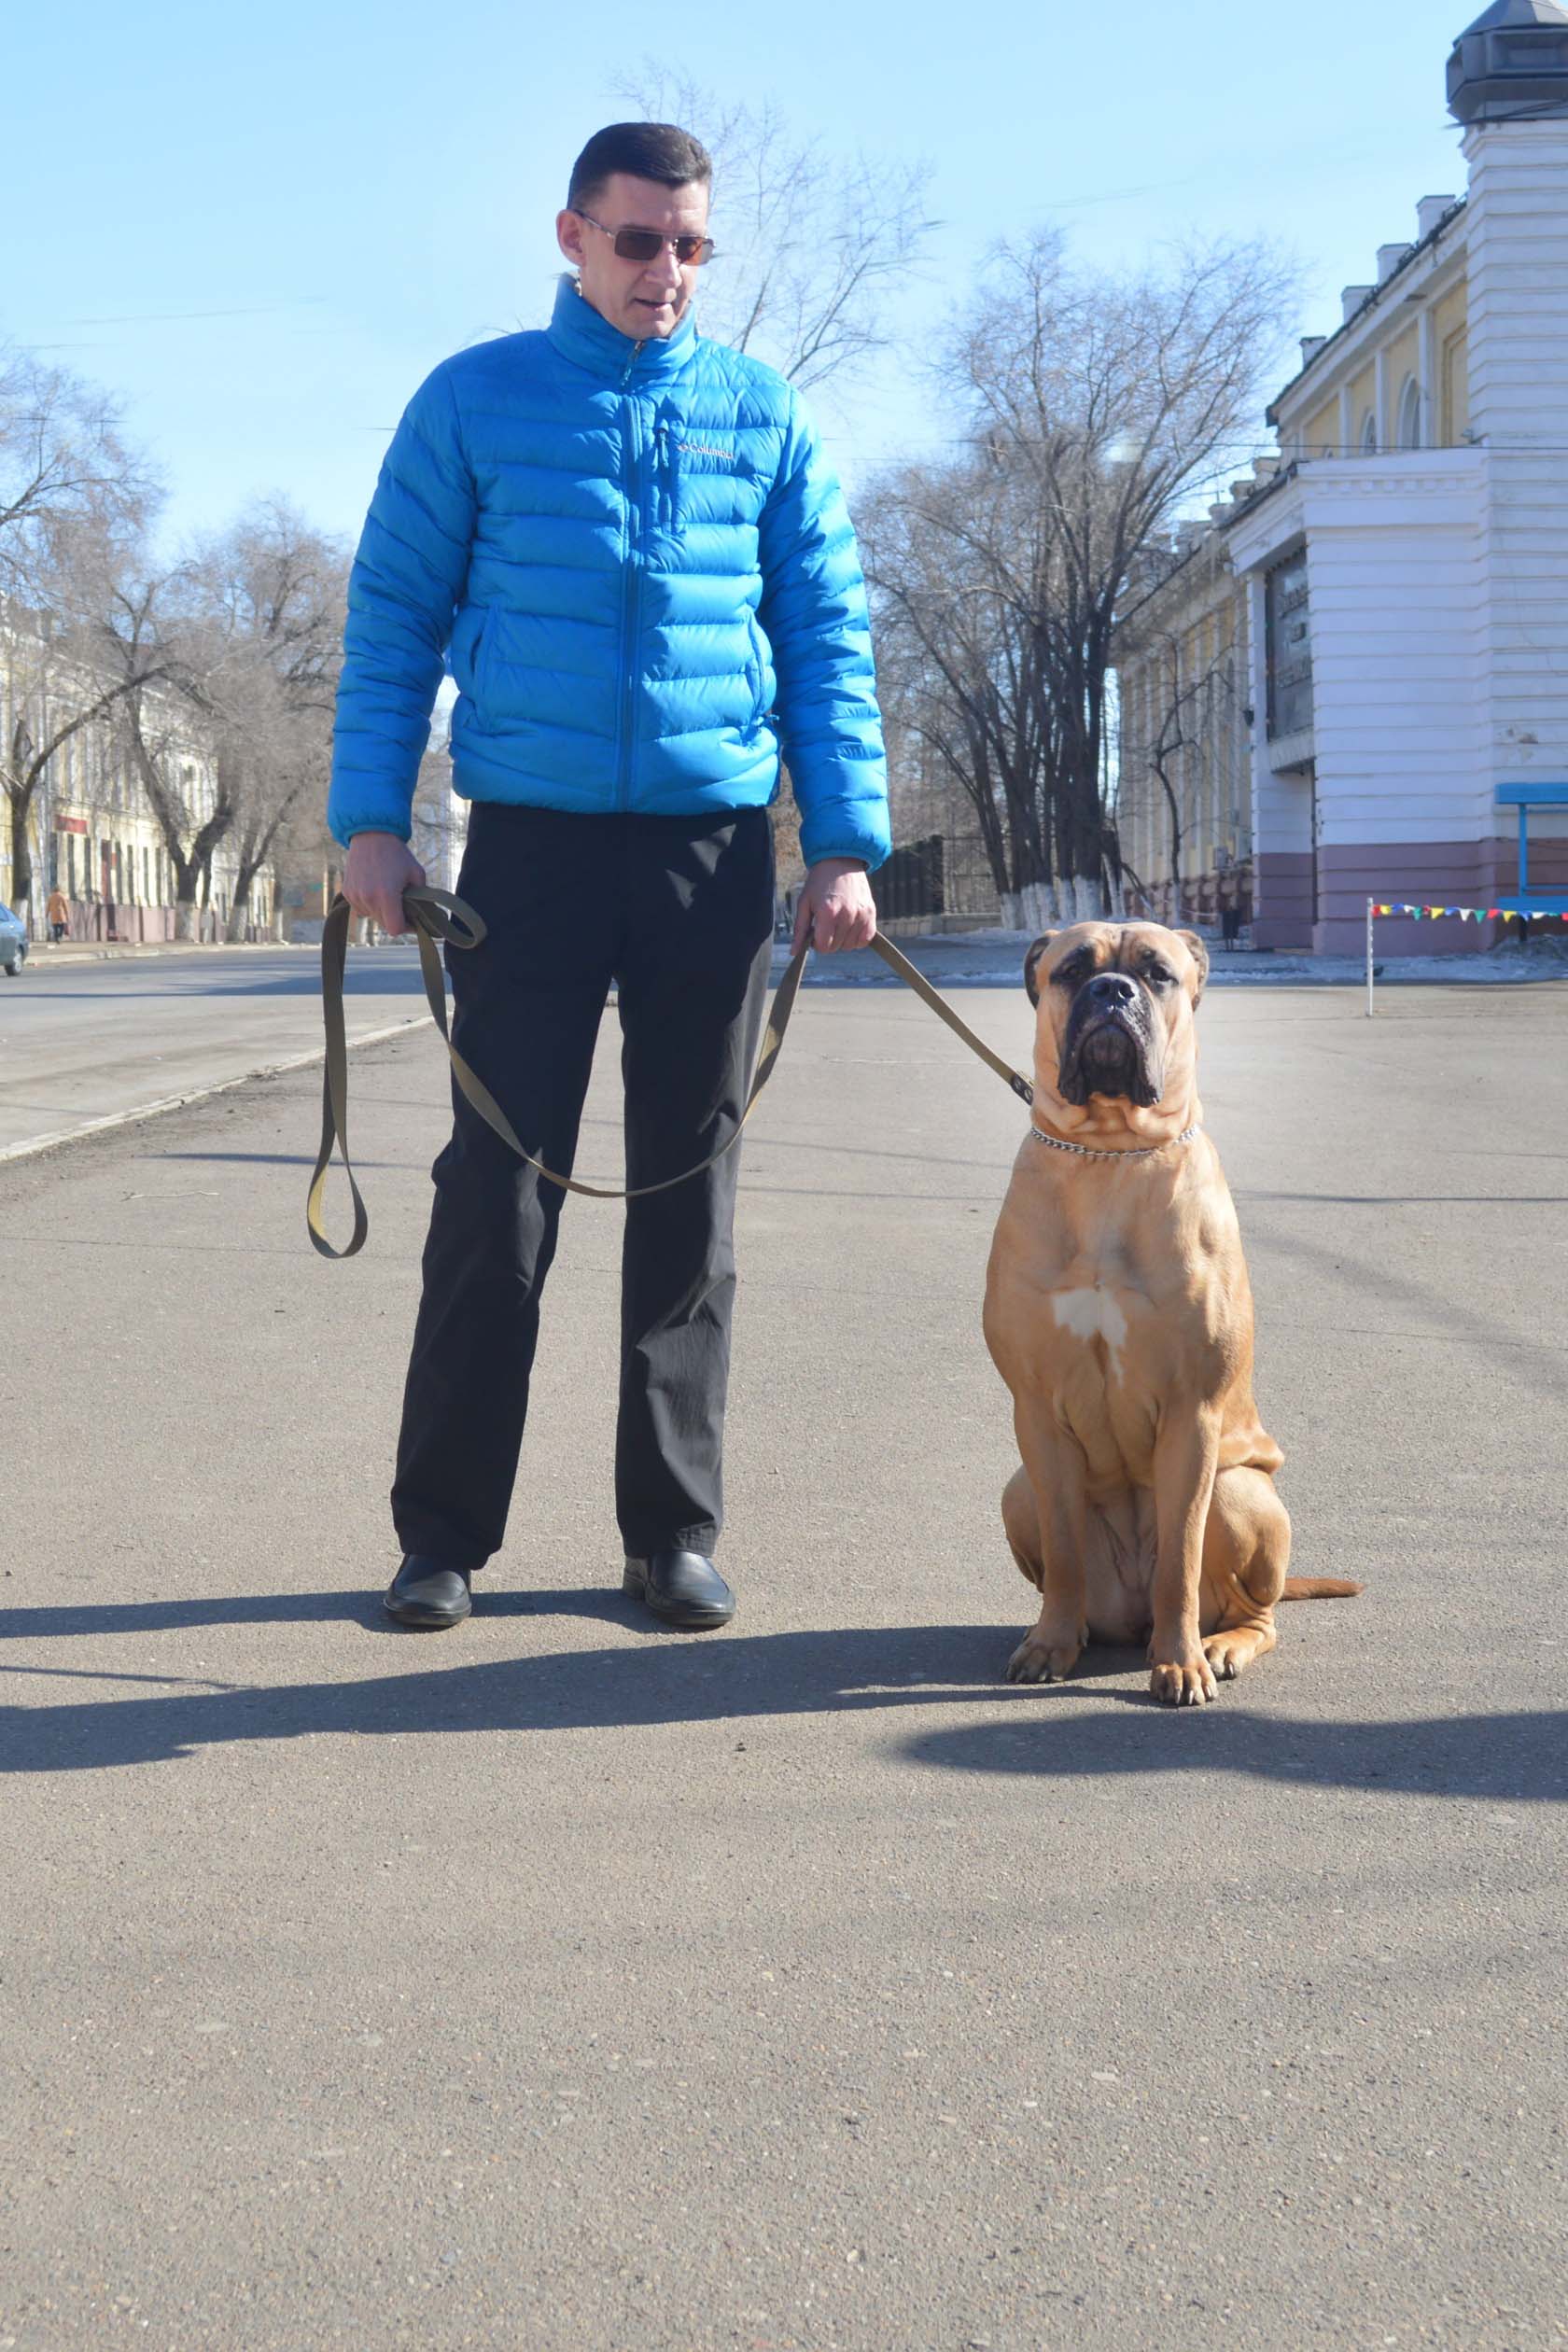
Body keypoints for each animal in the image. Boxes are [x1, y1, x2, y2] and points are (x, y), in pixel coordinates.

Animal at [982, 920, 1358, 1706]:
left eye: (1157, 973)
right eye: (1073, 970)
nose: (1112, 992)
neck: (1108, 1152)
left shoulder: (1194, 1411)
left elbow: (1181, 1557)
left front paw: (1181, 1663)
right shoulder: (1037, 1409)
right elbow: (1064, 1551)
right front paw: (1050, 1644)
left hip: (1241, 1491)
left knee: (1254, 1611)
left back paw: (1218, 1646)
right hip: (1017, 1489)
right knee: (1070, 1568)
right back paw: (1071, 1630)